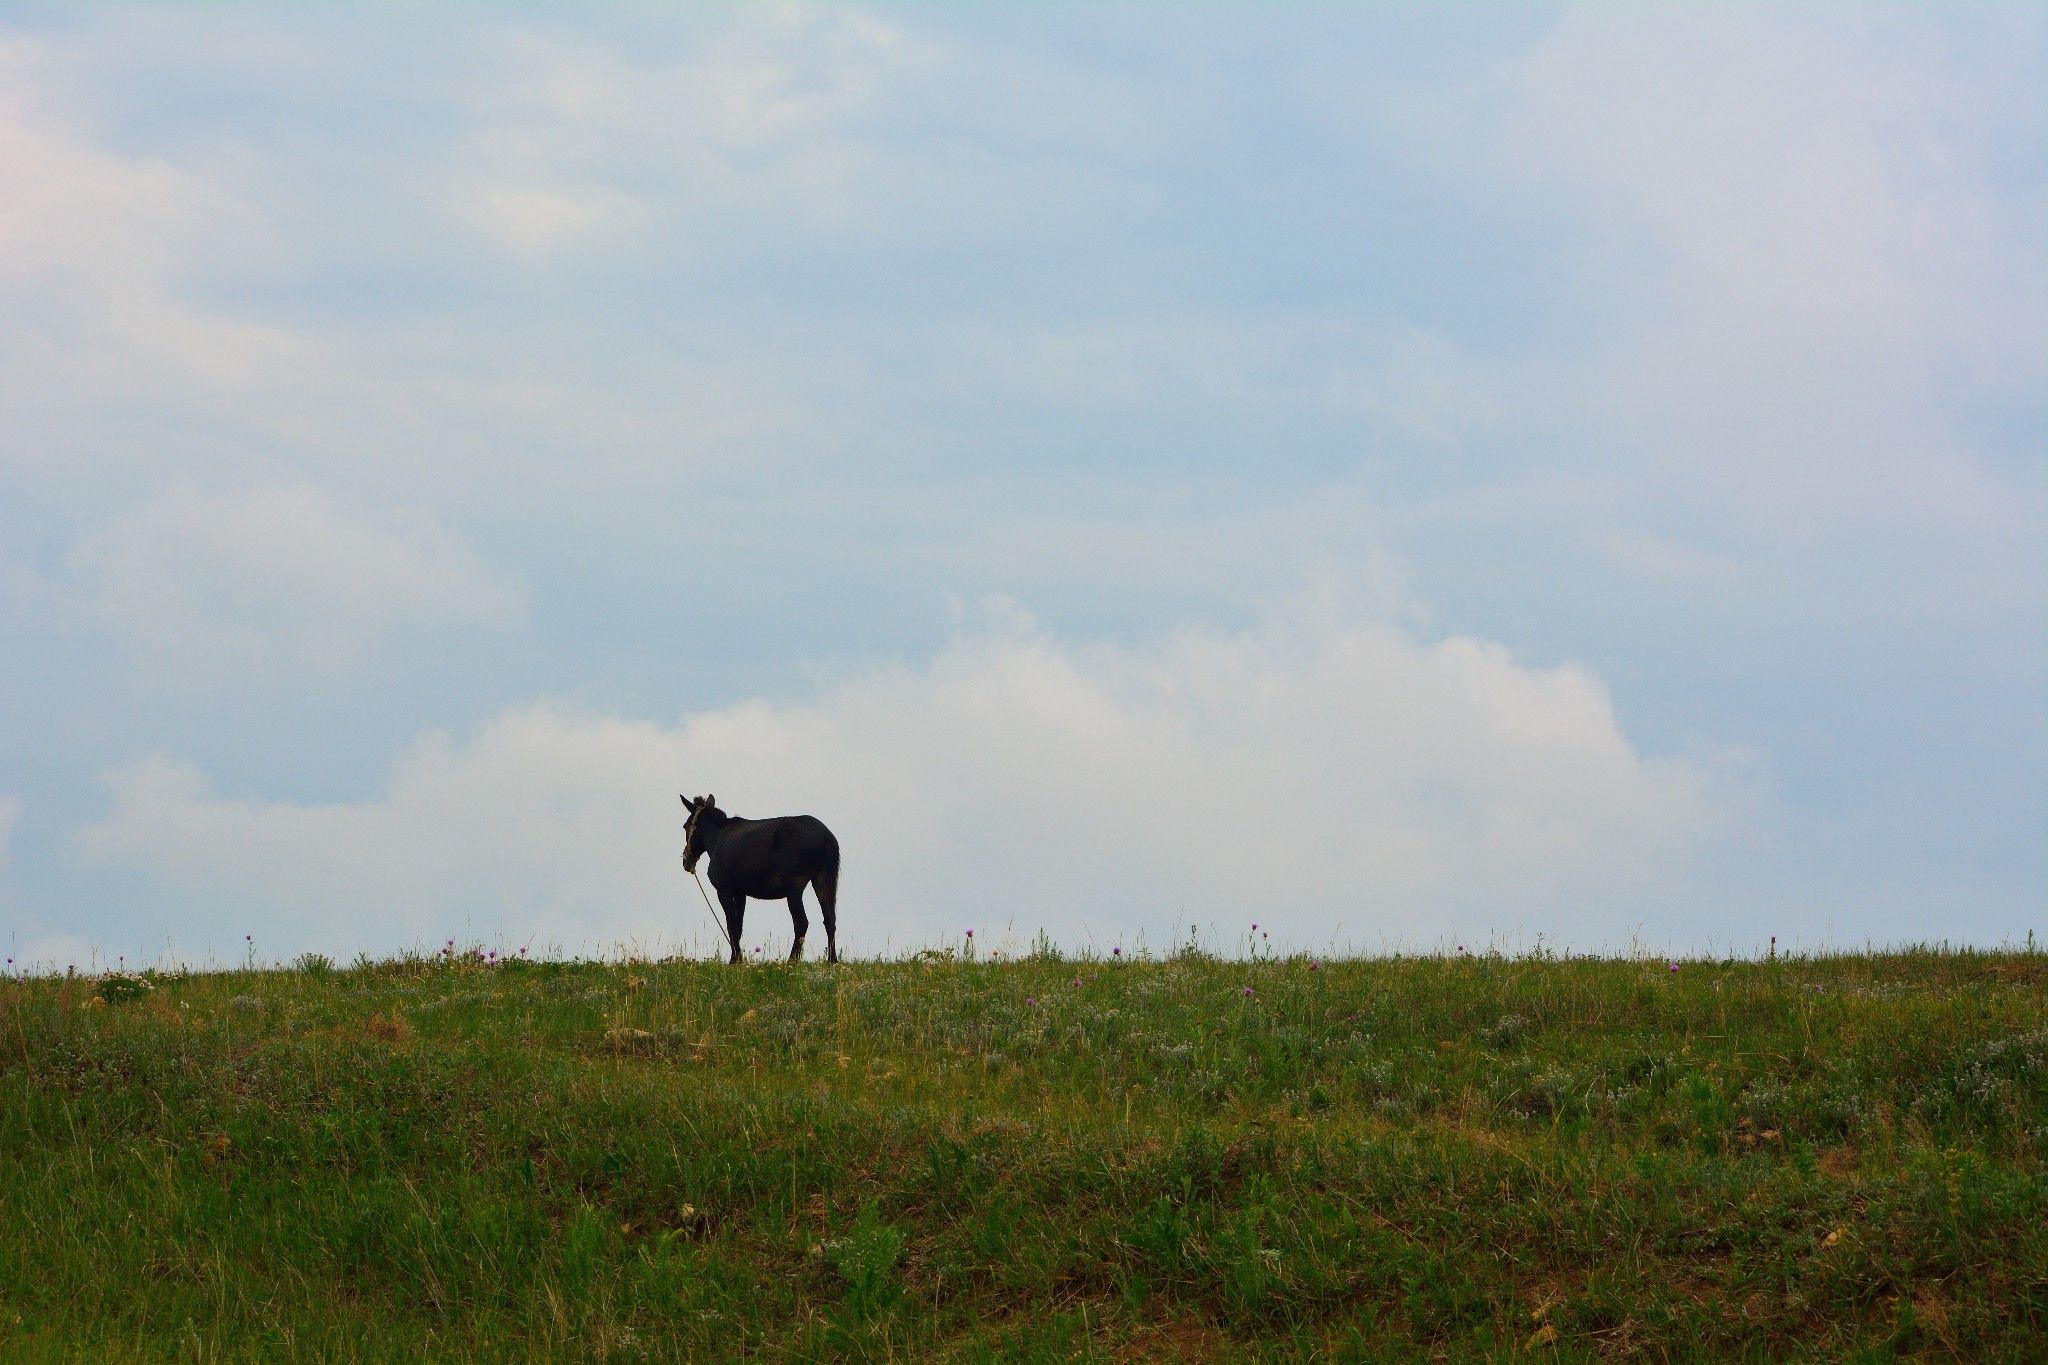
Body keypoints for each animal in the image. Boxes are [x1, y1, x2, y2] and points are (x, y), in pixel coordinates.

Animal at [679, 794, 839, 965]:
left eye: (685, 826)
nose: (686, 861)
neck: (717, 839)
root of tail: (825, 834)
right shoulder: (740, 893)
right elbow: (738, 927)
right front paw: (738, 959)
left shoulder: (724, 889)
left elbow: (731, 925)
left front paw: (734, 960)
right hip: (821, 881)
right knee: (830, 919)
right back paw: (832, 960)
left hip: (794, 889)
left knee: (801, 922)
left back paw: (791, 961)